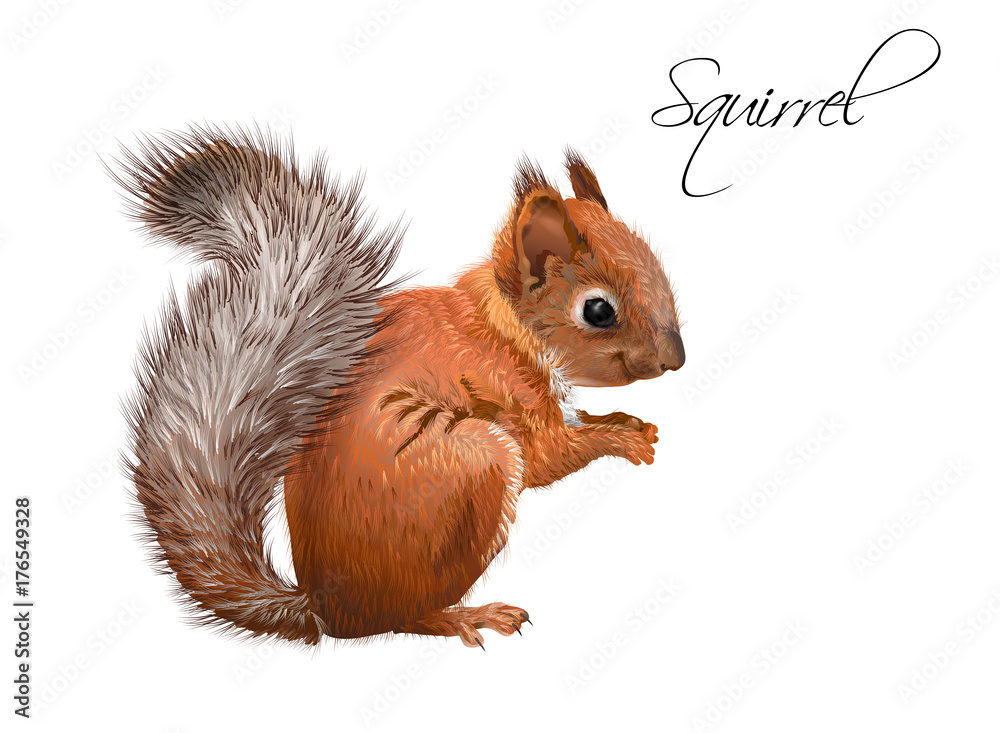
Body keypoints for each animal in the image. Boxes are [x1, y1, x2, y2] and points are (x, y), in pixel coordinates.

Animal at [113, 125, 685, 650]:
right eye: (598, 311)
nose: (675, 360)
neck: (504, 326)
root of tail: (322, 608)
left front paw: (626, 423)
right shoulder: (503, 385)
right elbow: (551, 455)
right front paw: (622, 437)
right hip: (475, 469)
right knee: (401, 619)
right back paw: (466, 616)